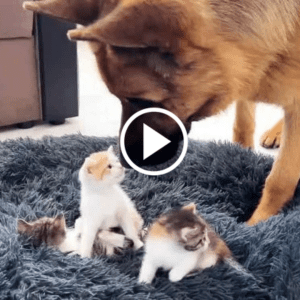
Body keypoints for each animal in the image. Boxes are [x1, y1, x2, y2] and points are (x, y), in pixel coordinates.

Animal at [24, 0, 300, 225]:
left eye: (140, 100)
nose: (125, 163)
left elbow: (280, 179)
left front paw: (258, 223)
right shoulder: (247, 76)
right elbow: (243, 122)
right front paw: (240, 155)